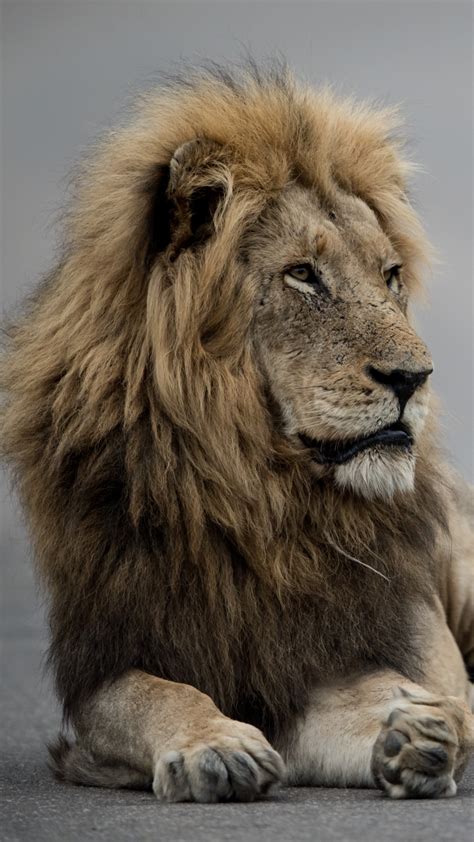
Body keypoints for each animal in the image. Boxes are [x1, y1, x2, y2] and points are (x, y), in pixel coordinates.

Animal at [1, 62, 473, 803]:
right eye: (303, 275)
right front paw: (215, 746)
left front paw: (415, 734)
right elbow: (156, 695)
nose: (414, 377)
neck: (259, 498)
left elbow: (391, 702)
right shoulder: (105, 666)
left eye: (390, 275)